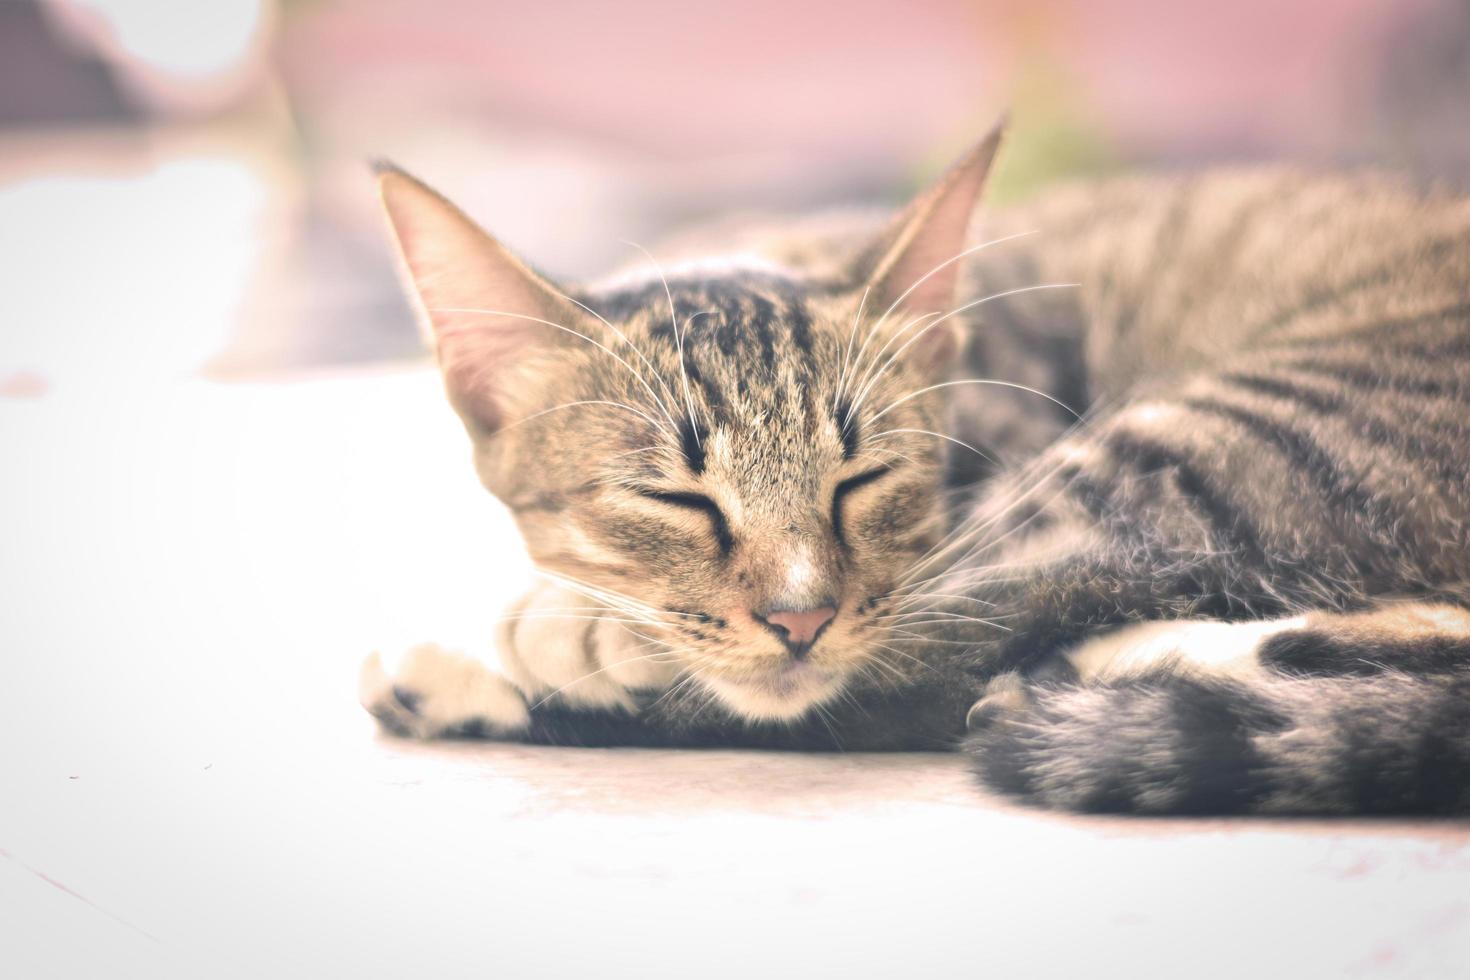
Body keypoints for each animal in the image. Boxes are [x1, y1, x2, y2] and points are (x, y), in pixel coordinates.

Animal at [358, 119, 1470, 816]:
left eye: (861, 481)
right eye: (671, 496)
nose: (801, 618)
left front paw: (569, 630)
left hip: (1210, 438)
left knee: (947, 651)